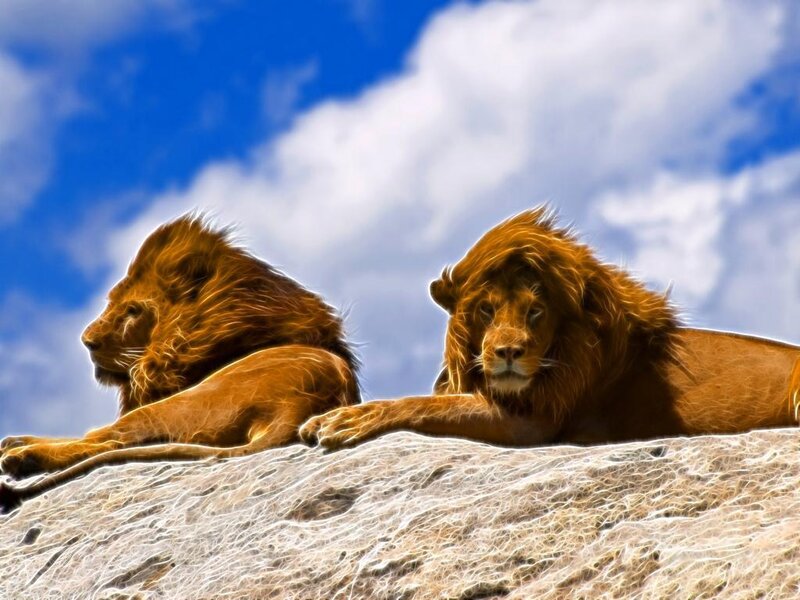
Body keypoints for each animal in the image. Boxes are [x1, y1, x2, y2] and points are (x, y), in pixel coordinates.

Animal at [0, 215, 359, 512]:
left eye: (133, 311)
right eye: (111, 303)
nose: (87, 341)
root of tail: (293, 409)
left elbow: (96, 436)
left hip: (180, 404)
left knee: (109, 440)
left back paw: (21, 457)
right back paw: (16, 445)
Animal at [300, 207, 800, 449]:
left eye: (537, 311)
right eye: (485, 310)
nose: (507, 352)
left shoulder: (535, 422)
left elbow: (422, 405)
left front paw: (344, 420)